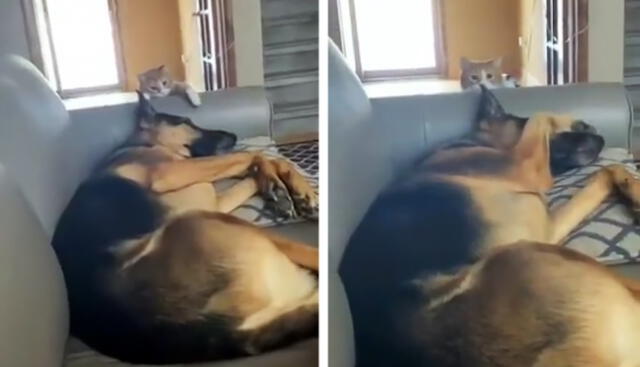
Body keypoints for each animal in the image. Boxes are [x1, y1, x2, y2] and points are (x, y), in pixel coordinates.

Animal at [53, 92, 318, 366]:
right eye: (187, 122)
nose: (233, 136)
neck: (147, 144)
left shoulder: (214, 199)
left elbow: (255, 168)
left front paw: (287, 189)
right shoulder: (169, 172)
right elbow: (251, 156)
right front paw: (278, 183)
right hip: (200, 219)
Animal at [340, 87, 640, 367]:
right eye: (572, 131)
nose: (598, 135)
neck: (475, 142)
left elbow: (603, 173)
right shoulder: (530, 175)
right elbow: (542, 117)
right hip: (524, 252)